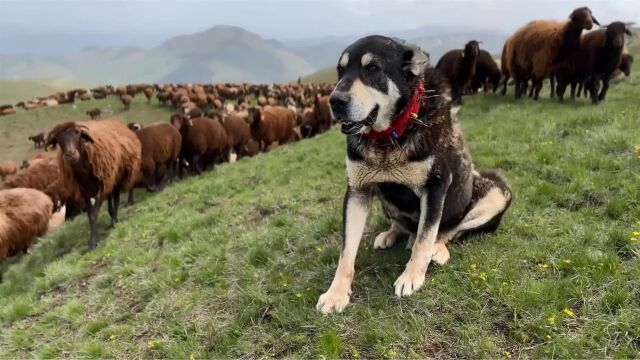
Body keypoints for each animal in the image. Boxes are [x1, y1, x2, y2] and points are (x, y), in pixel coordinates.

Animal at [44, 119, 142, 249]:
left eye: (77, 133)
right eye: (58, 138)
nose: (71, 155)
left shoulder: (102, 185)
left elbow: (94, 213)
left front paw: (92, 243)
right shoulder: (84, 191)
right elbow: (90, 215)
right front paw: (92, 240)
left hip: (117, 175)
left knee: (116, 197)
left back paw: (114, 219)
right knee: (111, 196)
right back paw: (111, 214)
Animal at [318, 35, 512, 314]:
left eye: (372, 68)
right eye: (340, 70)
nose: (335, 101)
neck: (389, 137)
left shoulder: (435, 187)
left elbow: (425, 237)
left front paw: (411, 276)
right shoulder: (357, 191)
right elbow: (346, 251)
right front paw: (336, 293)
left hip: (497, 193)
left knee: (450, 230)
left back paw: (438, 249)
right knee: (404, 225)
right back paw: (392, 233)